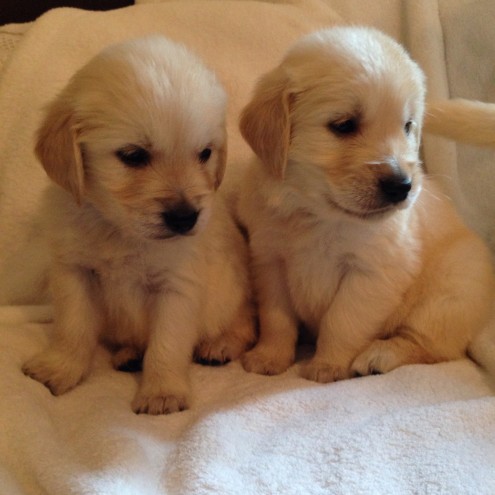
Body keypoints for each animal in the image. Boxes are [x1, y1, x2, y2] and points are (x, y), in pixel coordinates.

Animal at [22, 35, 256, 414]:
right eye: (133, 156)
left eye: (204, 153)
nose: (185, 217)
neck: (120, 231)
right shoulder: (73, 272)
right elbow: (72, 328)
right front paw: (59, 367)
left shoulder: (177, 286)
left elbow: (166, 345)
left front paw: (162, 392)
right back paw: (128, 354)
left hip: (232, 293)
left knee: (244, 322)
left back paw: (220, 345)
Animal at [237, 26, 495, 384]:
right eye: (344, 125)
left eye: (407, 126)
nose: (402, 186)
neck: (317, 215)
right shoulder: (270, 261)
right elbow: (277, 320)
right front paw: (269, 357)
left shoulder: (372, 273)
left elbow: (342, 321)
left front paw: (327, 365)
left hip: (448, 295)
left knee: (433, 346)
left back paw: (380, 355)